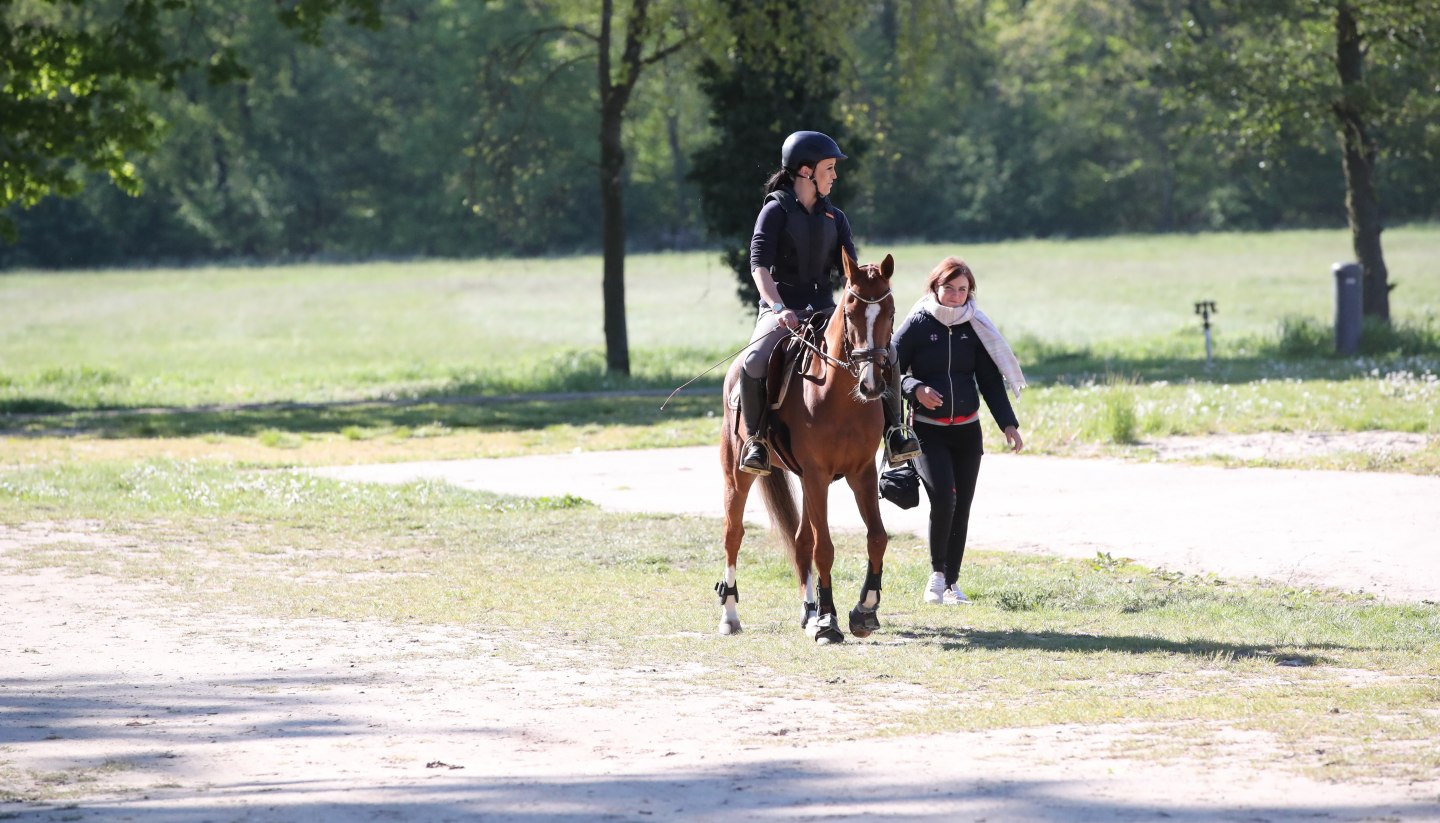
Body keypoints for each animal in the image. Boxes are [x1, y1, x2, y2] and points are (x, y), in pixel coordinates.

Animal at [714, 250, 892, 641]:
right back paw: (730, 615)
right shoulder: (817, 474)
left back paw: (809, 612)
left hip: (810, 482)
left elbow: (876, 537)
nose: (872, 385)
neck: (839, 396)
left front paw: (864, 610)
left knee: (800, 541)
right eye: (851, 311)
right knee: (733, 535)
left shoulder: (861, 473)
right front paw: (828, 622)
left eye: (889, 311)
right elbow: (824, 548)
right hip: (738, 475)